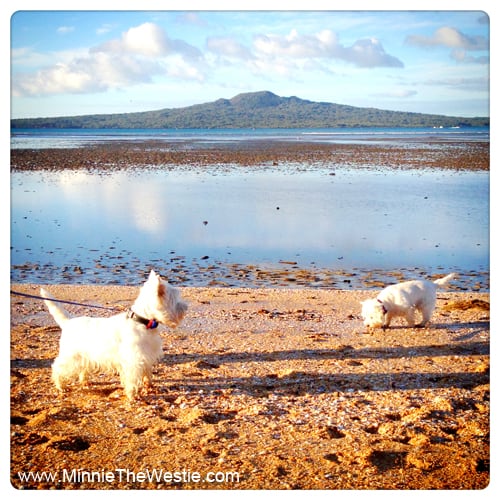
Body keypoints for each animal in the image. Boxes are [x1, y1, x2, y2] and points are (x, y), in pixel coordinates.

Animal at [41, 270, 188, 398]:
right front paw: (132, 395)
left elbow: (147, 373)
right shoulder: (134, 360)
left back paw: (85, 381)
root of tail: (68, 322)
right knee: (57, 367)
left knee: (82, 369)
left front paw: (149, 385)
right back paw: (61, 386)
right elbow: (132, 379)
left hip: (84, 356)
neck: (142, 321)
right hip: (71, 356)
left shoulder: (146, 356)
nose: (186, 307)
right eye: (175, 299)